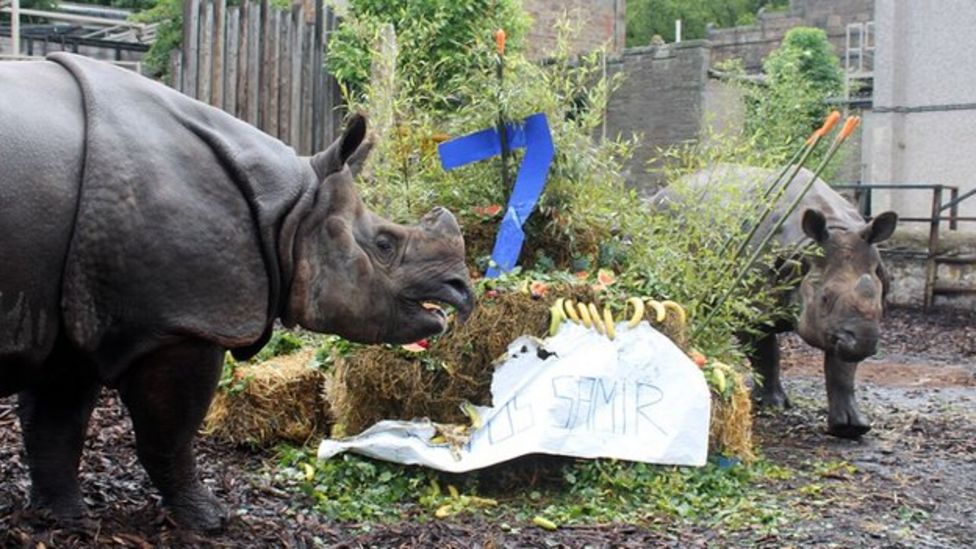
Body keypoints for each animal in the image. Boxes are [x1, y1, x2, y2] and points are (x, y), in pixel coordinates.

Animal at [0, 53, 472, 528]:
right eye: (384, 245)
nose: (463, 292)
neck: (289, 212)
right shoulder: (183, 321)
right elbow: (168, 434)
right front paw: (211, 519)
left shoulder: (73, 313)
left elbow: (56, 423)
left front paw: (64, 519)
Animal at [652, 165, 896, 438]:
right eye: (825, 298)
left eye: (880, 300)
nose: (864, 342)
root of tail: (663, 190)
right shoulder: (749, 307)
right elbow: (765, 353)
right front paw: (772, 406)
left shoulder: (841, 327)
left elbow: (842, 368)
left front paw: (850, 428)